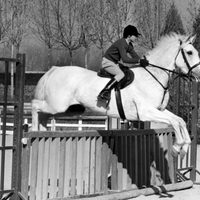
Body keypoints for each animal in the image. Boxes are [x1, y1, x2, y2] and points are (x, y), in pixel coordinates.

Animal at [32, 33, 200, 158]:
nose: (199, 74)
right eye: (190, 52)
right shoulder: (146, 112)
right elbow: (174, 122)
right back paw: (32, 131)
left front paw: (183, 148)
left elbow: (180, 121)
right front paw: (177, 147)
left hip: (68, 109)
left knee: (43, 116)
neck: (153, 76)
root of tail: (54, 70)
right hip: (57, 105)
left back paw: (42, 133)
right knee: (35, 105)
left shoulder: (159, 109)